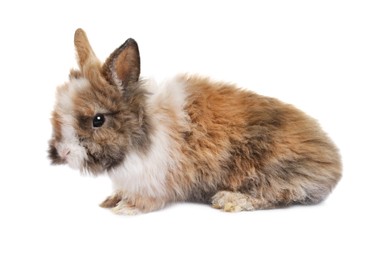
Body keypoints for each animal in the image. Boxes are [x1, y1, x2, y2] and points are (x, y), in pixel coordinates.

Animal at [48, 29, 342, 215]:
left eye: (98, 120)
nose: (63, 152)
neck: (143, 129)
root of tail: (333, 162)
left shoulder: (157, 179)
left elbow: (148, 200)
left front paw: (126, 208)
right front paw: (111, 200)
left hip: (271, 171)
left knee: (278, 195)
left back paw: (228, 200)